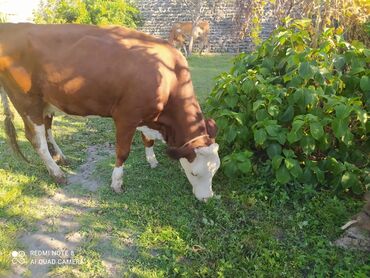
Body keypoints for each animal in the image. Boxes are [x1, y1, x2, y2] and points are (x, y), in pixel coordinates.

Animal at [0, 22, 220, 201]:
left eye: (215, 171)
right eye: (194, 173)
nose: (207, 198)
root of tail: (10, 27)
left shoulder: (145, 116)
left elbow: (147, 140)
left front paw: (152, 161)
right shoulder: (126, 117)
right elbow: (123, 152)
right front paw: (117, 183)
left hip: (48, 102)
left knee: (47, 130)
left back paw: (60, 158)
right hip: (28, 102)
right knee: (36, 139)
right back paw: (57, 173)